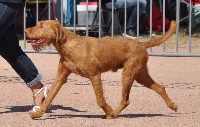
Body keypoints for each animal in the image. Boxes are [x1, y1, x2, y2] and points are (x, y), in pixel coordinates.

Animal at [25, 19, 178, 119]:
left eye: (41, 26)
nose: (25, 30)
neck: (68, 45)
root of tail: (141, 44)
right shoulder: (61, 77)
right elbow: (49, 97)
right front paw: (38, 113)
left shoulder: (94, 75)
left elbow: (99, 99)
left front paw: (108, 112)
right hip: (140, 75)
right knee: (160, 87)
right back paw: (172, 105)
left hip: (128, 74)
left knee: (126, 100)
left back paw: (114, 114)